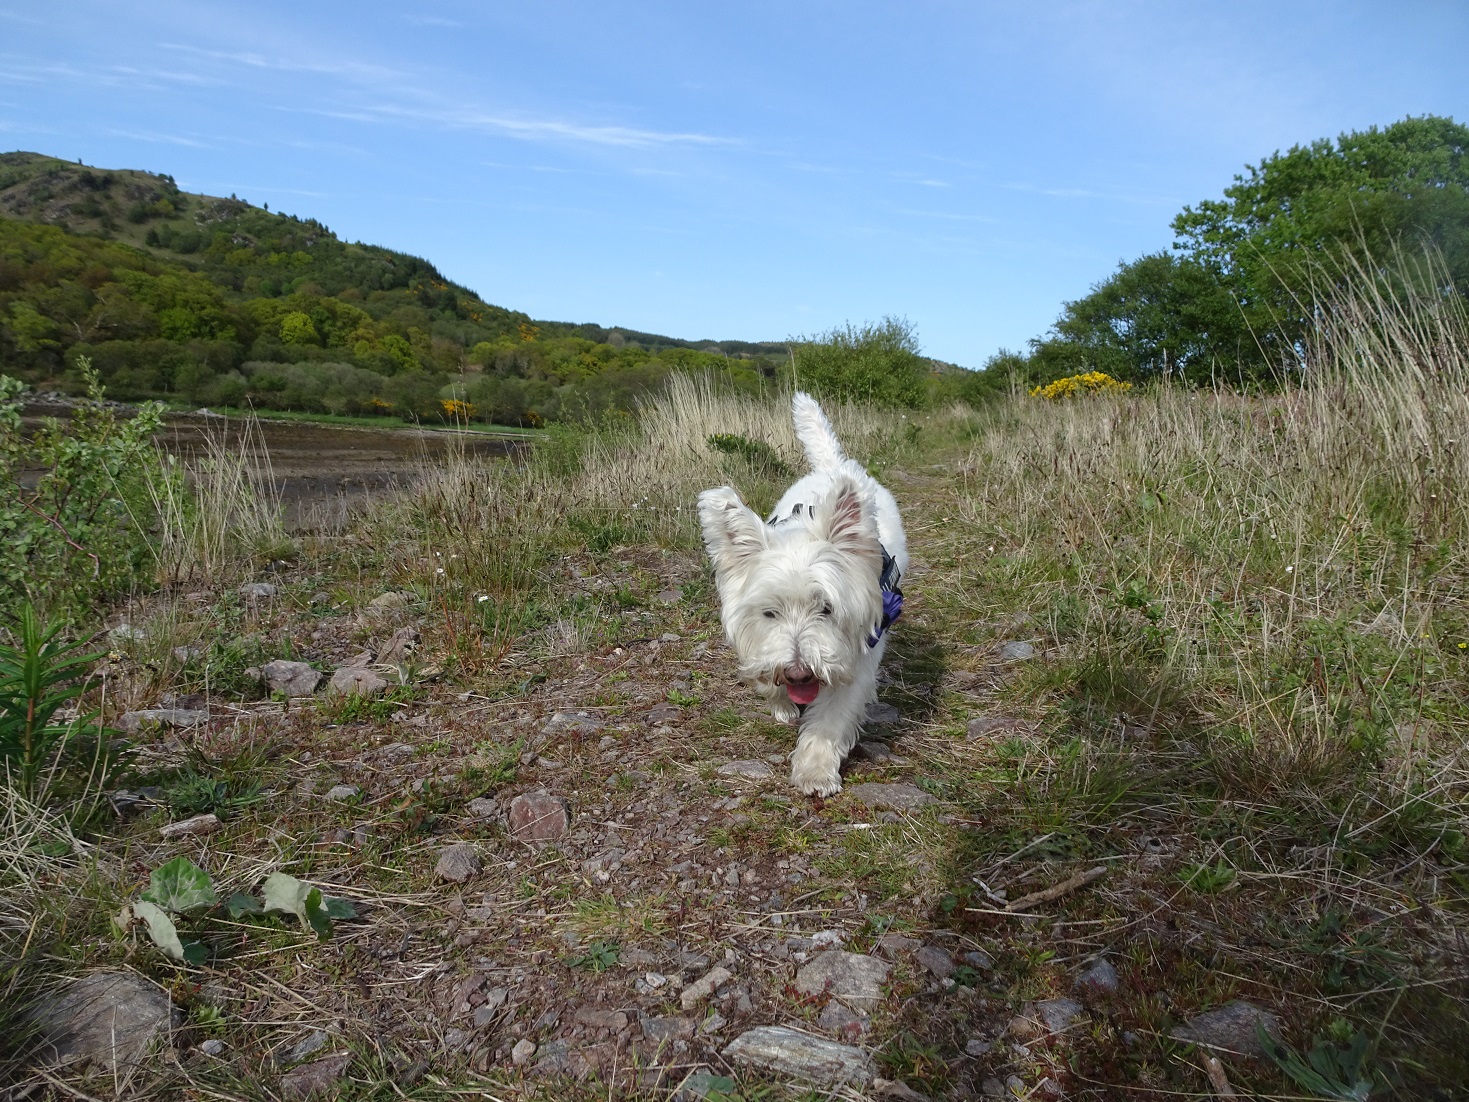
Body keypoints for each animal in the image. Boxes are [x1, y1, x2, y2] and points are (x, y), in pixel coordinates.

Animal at [699, 393, 904, 799]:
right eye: (769, 613)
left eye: (826, 608)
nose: (798, 673)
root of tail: (835, 466)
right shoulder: (758, 640)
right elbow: (764, 669)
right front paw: (781, 703)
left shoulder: (855, 658)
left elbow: (830, 718)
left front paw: (815, 771)